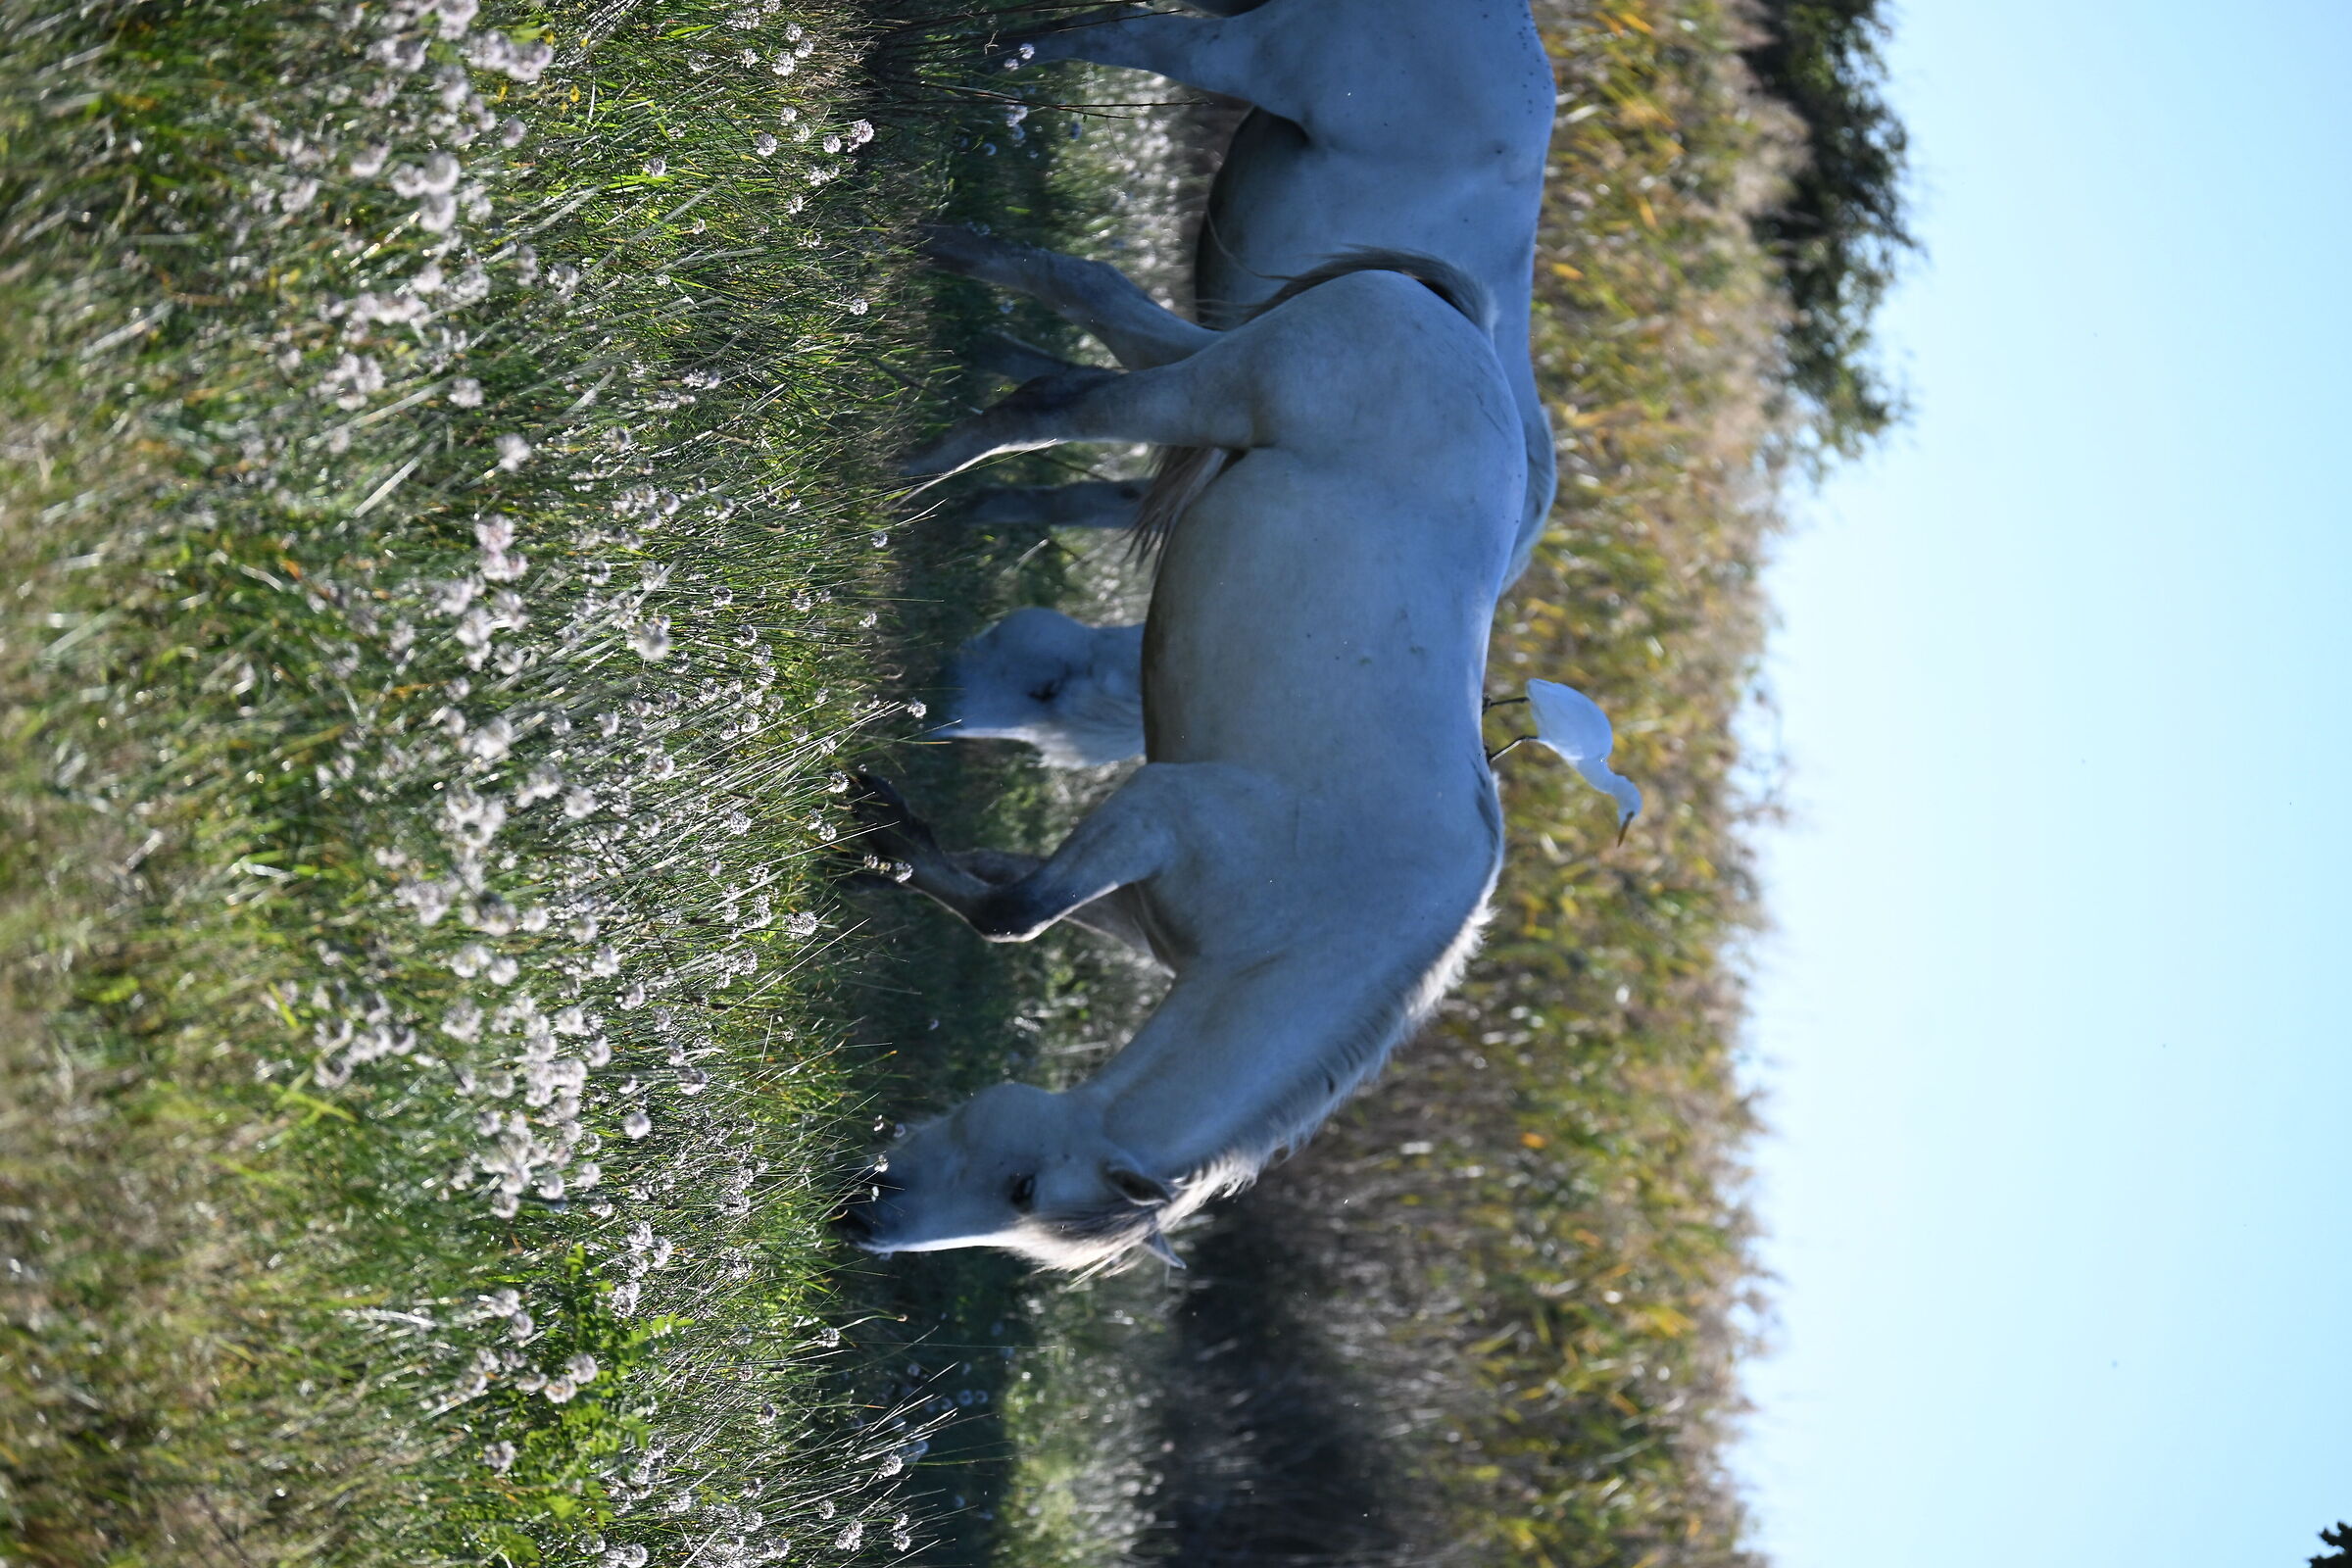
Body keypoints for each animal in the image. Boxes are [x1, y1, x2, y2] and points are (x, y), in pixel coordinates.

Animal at [836, 254, 1523, 1268]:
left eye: (1021, 1196)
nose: (868, 1220)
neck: (1318, 923)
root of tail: (1458, 320)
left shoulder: (1130, 900)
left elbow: (999, 884)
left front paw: (887, 847)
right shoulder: (1158, 815)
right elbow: (1012, 915)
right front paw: (893, 846)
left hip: (1205, 375)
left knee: (1103, 317)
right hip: (1213, 391)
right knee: (1062, 398)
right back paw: (907, 471)